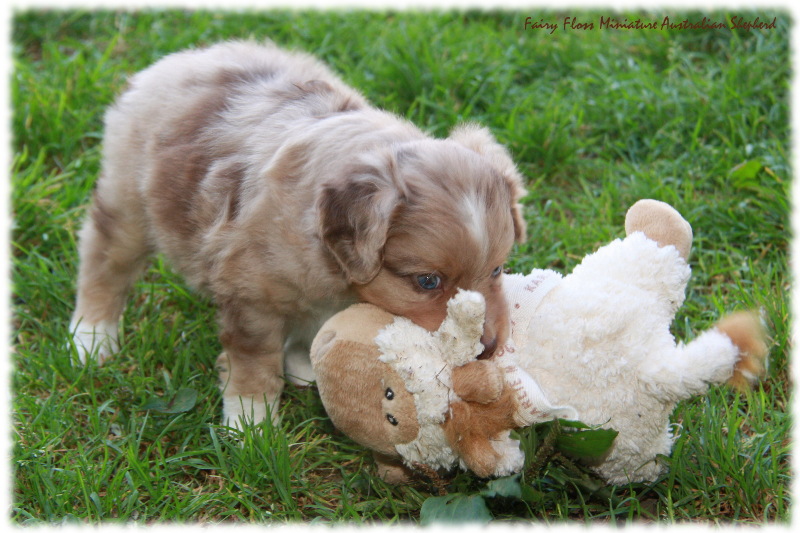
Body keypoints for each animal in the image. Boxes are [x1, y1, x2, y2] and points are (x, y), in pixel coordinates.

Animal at [69, 39, 528, 426]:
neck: (335, 271)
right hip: (128, 206)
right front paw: (251, 425)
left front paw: (308, 363)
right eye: (427, 281)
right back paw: (91, 337)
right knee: (102, 260)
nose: (488, 349)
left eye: (496, 270)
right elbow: (255, 364)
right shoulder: (250, 299)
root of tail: (179, 59)